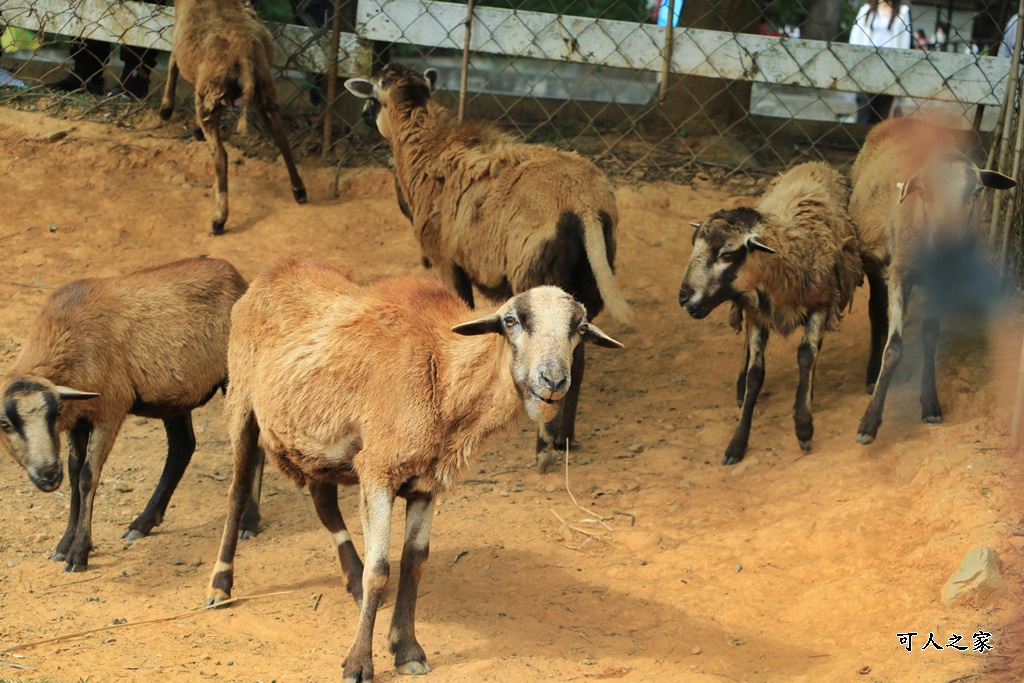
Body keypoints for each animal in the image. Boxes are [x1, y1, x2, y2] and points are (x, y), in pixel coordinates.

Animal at [157, 0, 305, 235]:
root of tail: (242, 53)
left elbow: (173, 59)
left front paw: (166, 109)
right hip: (265, 89)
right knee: (281, 137)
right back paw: (299, 190)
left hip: (211, 93)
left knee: (220, 157)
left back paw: (219, 219)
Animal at [205, 258, 622, 683]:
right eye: (511, 321)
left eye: (581, 328)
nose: (553, 381)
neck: (443, 367)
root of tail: (274, 269)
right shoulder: (377, 470)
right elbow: (380, 568)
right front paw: (358, 663)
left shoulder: (426, 483)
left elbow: (413, 562)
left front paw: (406, 650)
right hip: (241, 402)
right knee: (237, 492)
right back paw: (221, 584)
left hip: (316, 442)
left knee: (323, 502)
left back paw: (350, 578)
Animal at [679, 160, 864, 464]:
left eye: (727, 254)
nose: (683, 299)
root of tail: (815, 162)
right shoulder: (755, 313)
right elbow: (755, 374)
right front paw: (737, 442)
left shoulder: (821, 303)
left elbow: (807, 355)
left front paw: (804, 426)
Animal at [847, 117, 1015, 444]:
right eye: (926, 191)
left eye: (977, 192)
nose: (949, 247)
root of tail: (899, 119)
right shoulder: (898, 272)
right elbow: (894, 347)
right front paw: (868, 424)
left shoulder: (942, 283)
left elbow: (931, 335)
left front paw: (930, 405)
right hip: (873, 261)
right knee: (876, 313)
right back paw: (872, 376)